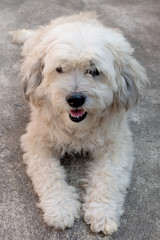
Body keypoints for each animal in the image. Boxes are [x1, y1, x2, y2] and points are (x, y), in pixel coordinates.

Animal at [11, 12, 148, 234]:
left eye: (94, 71)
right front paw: (60, 209)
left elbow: (109, 177)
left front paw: (103, 212)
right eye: (60, 69)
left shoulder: (117, 145)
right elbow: (49, 175)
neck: (78, 127)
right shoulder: (37, 142)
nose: (75, 99)